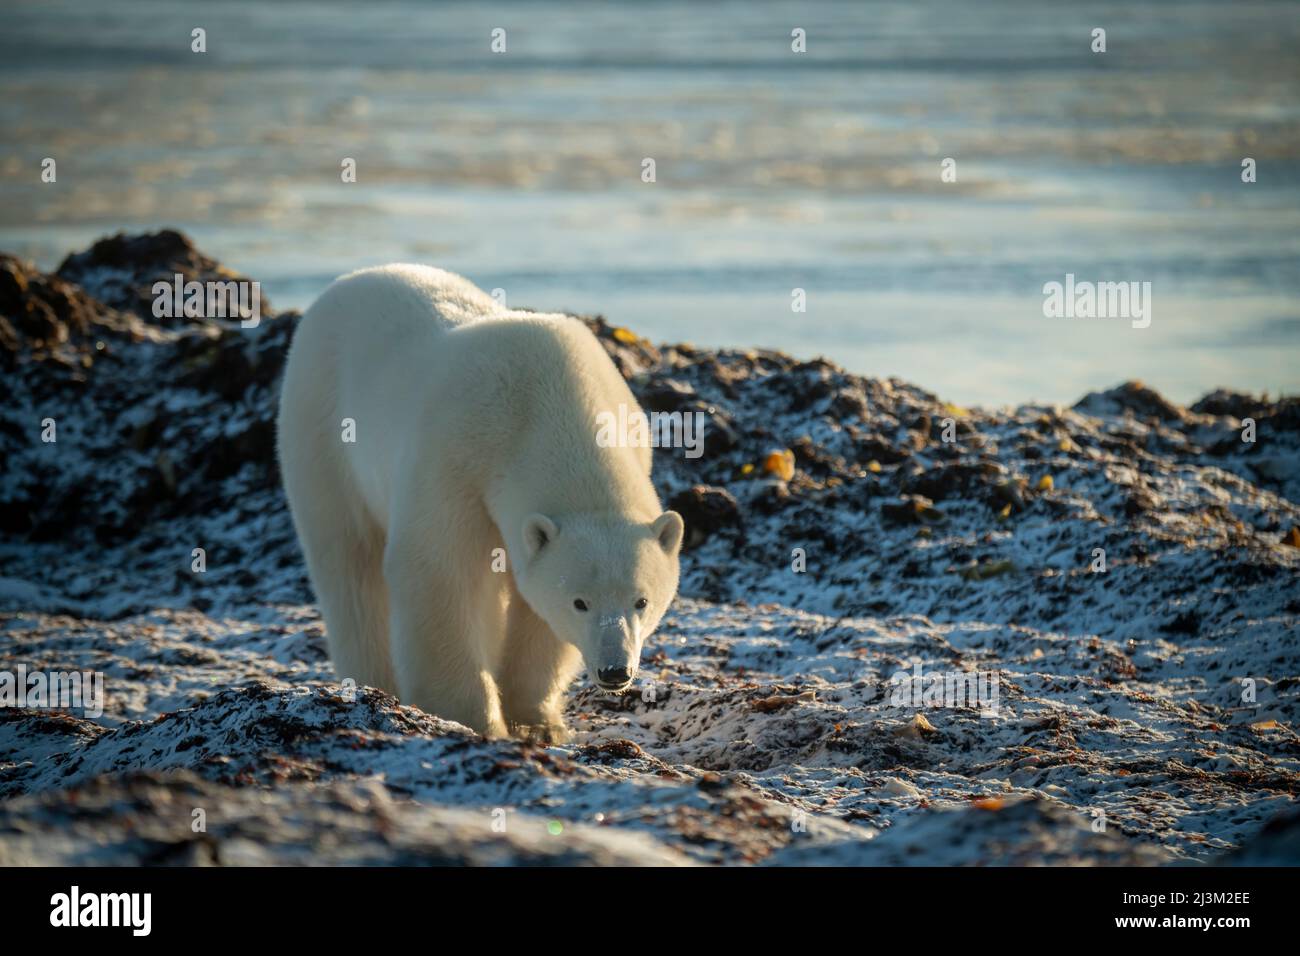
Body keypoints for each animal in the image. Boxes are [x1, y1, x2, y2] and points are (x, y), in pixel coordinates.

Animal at [278, 265, 686, 743]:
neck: (548, 400)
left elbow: (534, 611)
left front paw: (538, 723)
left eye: (641, 601)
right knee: (349, 562)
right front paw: (473, 720)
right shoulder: (456, 457)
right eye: (580, 602)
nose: (614, 672)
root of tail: (353, 278)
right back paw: (373, 683)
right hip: (322, 431)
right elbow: (439, 570)